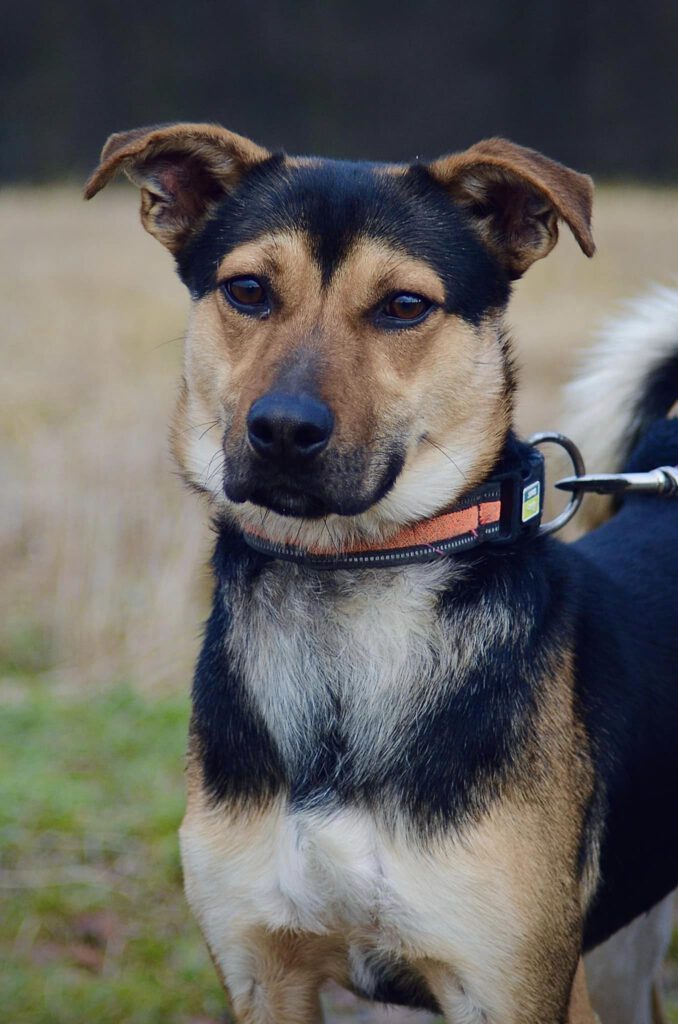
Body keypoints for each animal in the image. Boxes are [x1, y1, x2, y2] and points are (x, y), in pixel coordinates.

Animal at [83, 128, 678, 1024]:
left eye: (403, 306)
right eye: (248, 291)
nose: (283, 430)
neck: (349, 583)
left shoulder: (508, 984)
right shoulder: (265, 971)